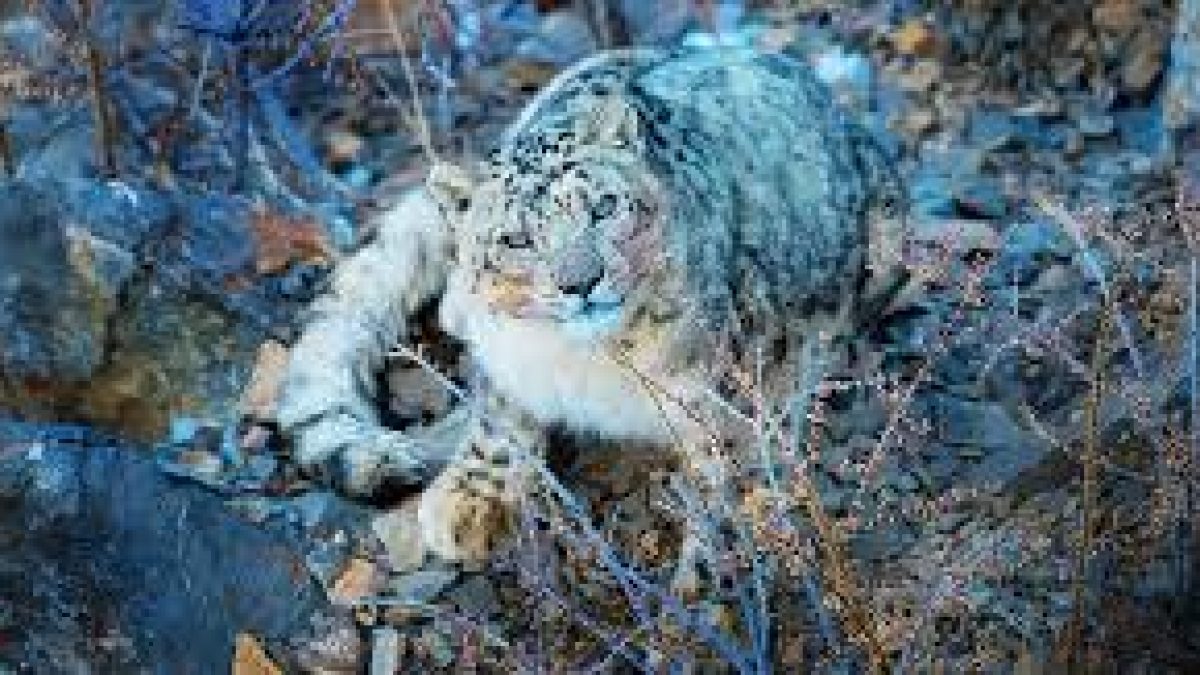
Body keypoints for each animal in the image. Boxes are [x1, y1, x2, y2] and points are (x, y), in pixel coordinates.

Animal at [275, 46, 908, 565]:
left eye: (603, 207)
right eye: (516, 239)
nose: (580, 280)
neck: (581, 361)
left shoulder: (737, 392)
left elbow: (735, 475)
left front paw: (712, 582)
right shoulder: (507, 363)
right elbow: (499, 418)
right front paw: (469, 502)